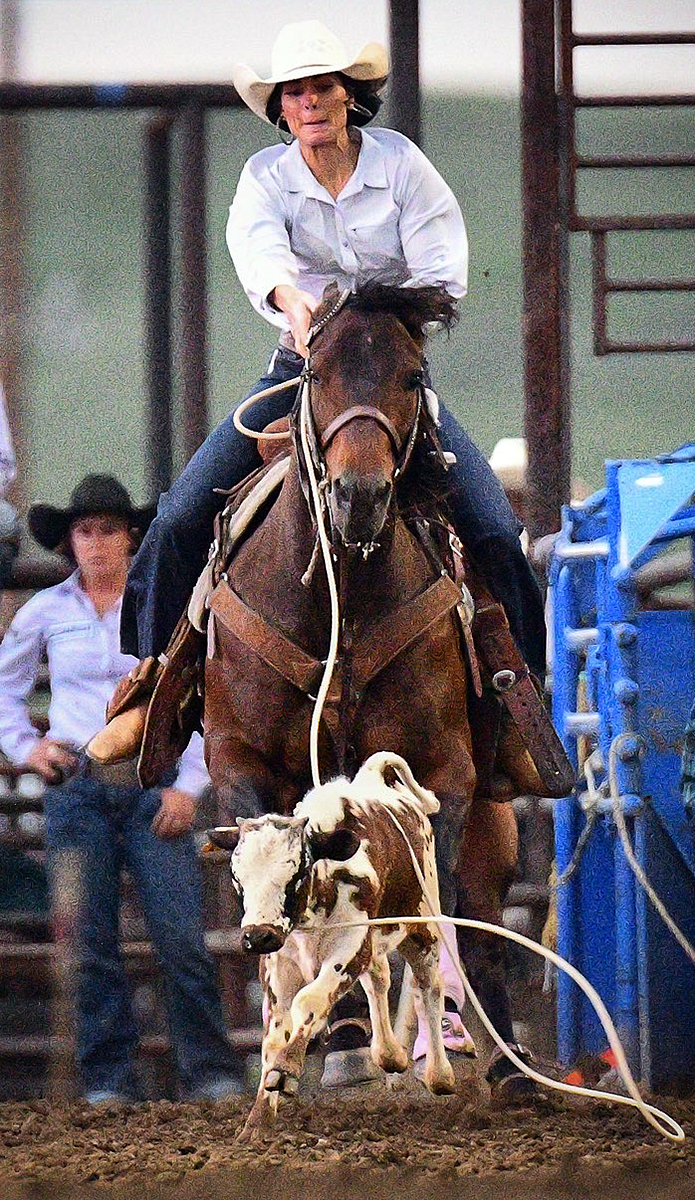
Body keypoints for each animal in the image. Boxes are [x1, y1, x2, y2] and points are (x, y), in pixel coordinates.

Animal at [208, 752, 460, 1137]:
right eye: (237, 876)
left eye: (296, 872)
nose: (257, 936)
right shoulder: (280, 963)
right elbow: (273, 1034)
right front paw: (258, 1121)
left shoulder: (349, 950)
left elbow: (309, 1002)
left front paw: (287, 1071)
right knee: (379, 980)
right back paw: (389, 1054)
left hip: (422, 926)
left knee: (428, 987)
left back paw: (439, 1074)